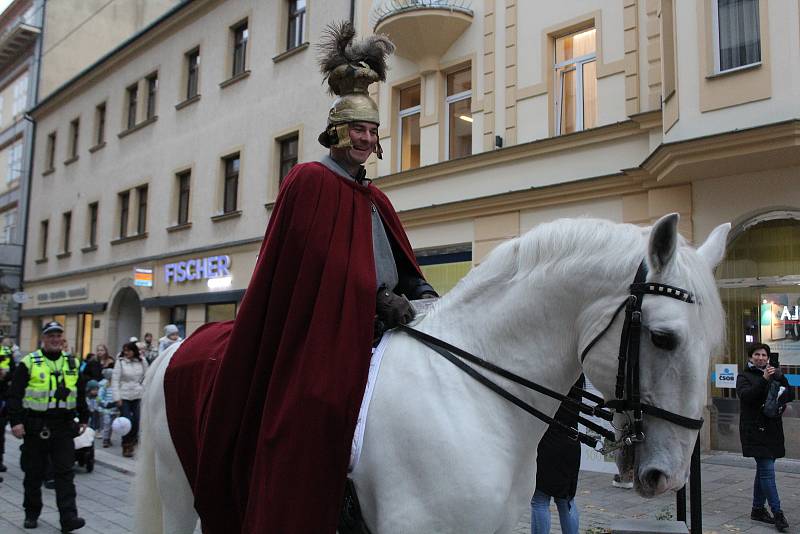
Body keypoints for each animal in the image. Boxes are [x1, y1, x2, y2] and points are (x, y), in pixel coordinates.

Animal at [133, 215, 732, 534]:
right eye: (663, 337)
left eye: (713, 343)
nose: (668, 477)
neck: (471, 400)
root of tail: (174, 348)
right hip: (181, 489)